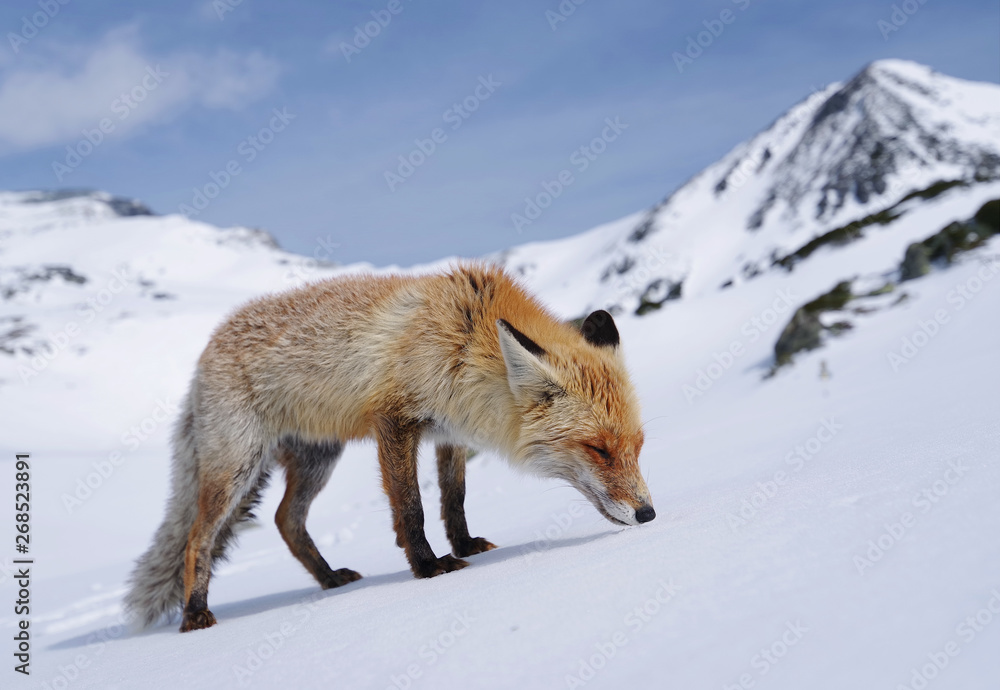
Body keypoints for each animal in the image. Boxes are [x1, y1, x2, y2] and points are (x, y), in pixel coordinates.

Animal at [124, 263, 654, 632]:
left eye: (637, 446)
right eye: (598, 450)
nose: (647, 514)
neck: (464, 338)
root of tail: (204, 354)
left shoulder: (449, 431)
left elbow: (454, 500)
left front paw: (465, 545)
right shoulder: (394, 422)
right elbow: (411, 508)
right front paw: (429, 566)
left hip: (317, 459)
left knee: (285, 520)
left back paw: (329, 580)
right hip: (236, 468)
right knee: (198, 539)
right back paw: (195, 614)